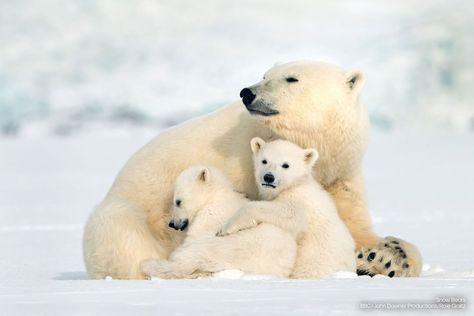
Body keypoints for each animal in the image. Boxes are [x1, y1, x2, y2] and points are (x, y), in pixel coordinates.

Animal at [82, 59, 422, 278]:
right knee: (121, 232)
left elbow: (354, 227)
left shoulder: (339, 176)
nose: (248, 92)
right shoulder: (243, 167)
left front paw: (384, 257)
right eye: (265, 73)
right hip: (126, 215)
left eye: (291, 78)